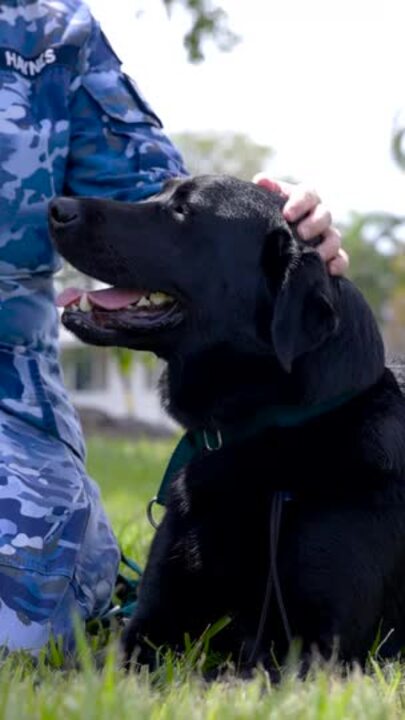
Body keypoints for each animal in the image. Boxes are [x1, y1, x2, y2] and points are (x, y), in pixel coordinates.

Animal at [49, 177, 405, 672]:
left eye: (183, 211)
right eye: (159, 194)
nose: (55, 207)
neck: (266, 431)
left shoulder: (314, 648)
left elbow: (222, 675)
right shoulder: (151, 619)